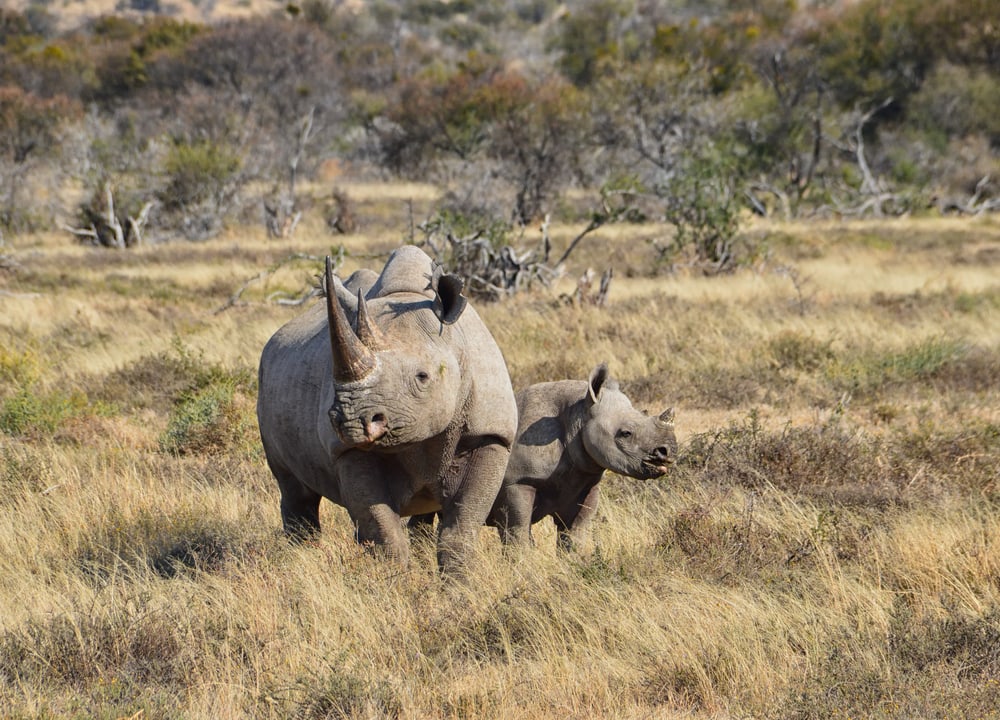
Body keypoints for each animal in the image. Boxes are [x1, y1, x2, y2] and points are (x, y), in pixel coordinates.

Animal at [256, 246, 518, 574]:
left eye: (423, 377)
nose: (352, 422)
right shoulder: (347, 450)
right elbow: (384, 532)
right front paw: (396, 583)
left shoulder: (490, 434)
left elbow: (461, 528)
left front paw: (459, 585)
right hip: (267, 380)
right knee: (295, 490)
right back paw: (300, 558)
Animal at [487, 363, 676, 550]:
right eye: (626, 433)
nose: (668, 451)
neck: (578, 414)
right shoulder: (517, 481)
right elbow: (517, 534)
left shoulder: (584, 480)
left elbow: (575, 533)